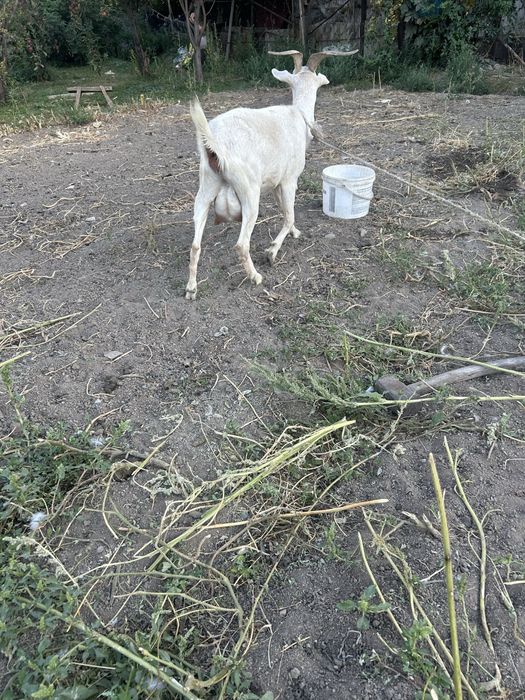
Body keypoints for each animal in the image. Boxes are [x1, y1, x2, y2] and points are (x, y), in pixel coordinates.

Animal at [185, 49, 357, 300]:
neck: (299, 115)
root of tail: (215, 143)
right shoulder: (290, 180)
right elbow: (289, 215)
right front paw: (272, 251)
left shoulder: (276, 182)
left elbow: (285, 212)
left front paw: (294, 233)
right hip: (249, 191)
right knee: (241, 244)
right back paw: (255, 277)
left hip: (206, 185)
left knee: (196, 243)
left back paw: (191, 288)